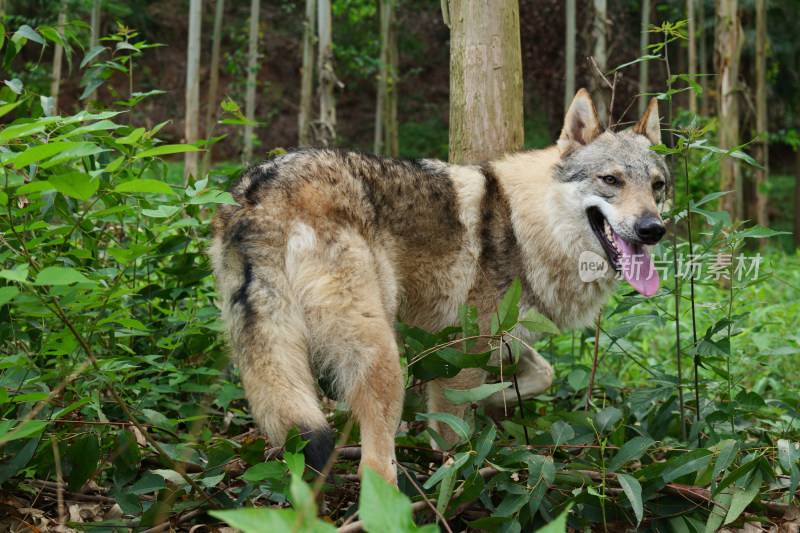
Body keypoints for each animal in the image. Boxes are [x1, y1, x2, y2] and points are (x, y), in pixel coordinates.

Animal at [211, 89, 668, 484]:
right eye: (610, 180)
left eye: (658, 185)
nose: (653, 229)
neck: (529, 224)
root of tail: (264, 192)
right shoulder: (464, 350)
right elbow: (455, 440)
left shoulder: (485, 341)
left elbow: (543, 373)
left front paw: (496, 399)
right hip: (382, 358)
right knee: (373, 464)